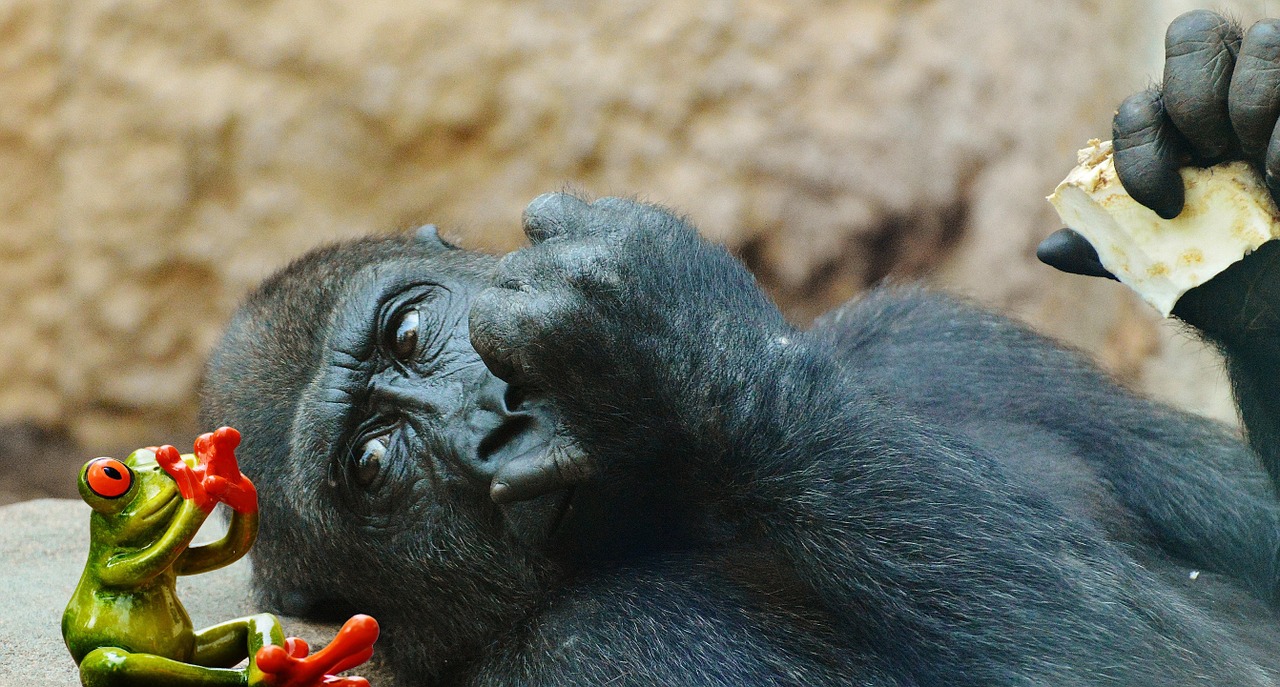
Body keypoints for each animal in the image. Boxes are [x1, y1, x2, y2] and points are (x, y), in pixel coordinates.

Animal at [204, 12, 1280, 685]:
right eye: (372, 465)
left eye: (410, 329)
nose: (492, 426)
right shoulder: (606, 646)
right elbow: (1157, 670)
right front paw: (684, 345)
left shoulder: (929, 340)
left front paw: (1234, 198)